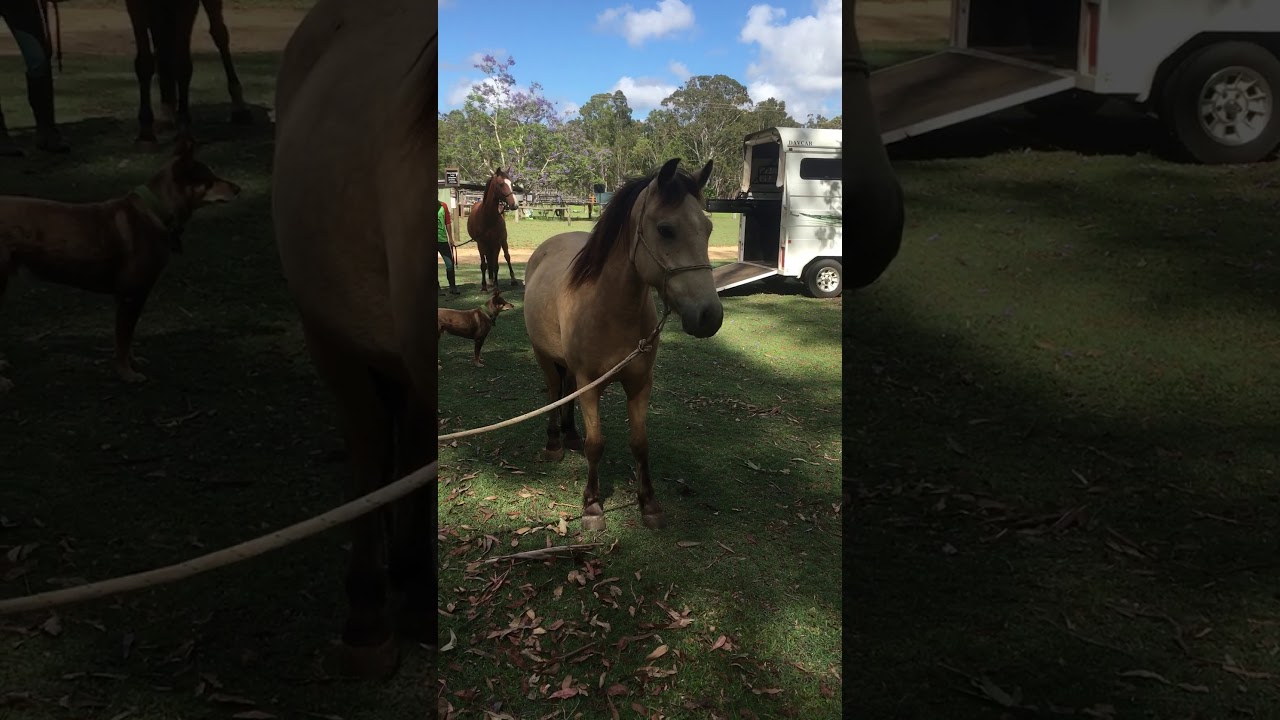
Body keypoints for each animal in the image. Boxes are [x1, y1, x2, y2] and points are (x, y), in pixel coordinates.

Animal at [125, 0, 252, 145]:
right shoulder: (135, 4)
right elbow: (144, 63)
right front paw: (146, 133)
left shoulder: (187, 6)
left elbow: (182, 64)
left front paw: (184, 131)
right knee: (162, 48)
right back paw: (167, 113)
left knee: (220, 34)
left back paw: (239, 107)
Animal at [522, 157, 722, 531]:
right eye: (666, 230)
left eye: (708, 228)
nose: (710, 316)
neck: (610, 310)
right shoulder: (589, 385)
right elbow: (596, 444)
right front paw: (592, 506)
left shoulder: (640, 383)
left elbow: (640, 443)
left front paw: (649, 504)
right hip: (544, 357)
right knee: (556, 390)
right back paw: (555, 442)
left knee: (565, 391)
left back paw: (570, 434)